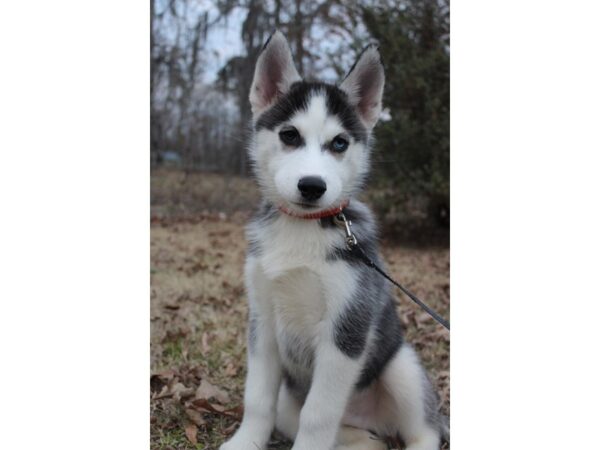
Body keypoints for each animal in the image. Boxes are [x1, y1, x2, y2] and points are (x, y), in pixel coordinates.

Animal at [220, 29, 446, 448]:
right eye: (289, 135)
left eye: (339, 143)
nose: (312, 186)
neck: (303, 228)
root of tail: (369, 419)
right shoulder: (262, 322)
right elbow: (257, 397)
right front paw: (246, 441)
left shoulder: (347, 328)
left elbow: (318, 413)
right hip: (292, 401)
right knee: (353, 433)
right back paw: (364, 440)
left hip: (402, 366)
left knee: (425, 430)